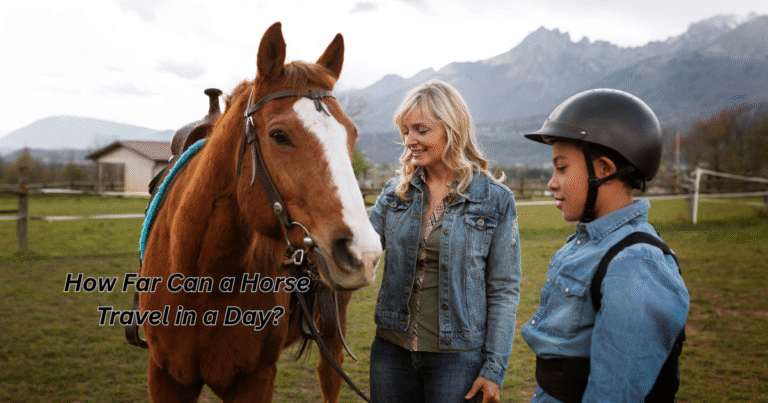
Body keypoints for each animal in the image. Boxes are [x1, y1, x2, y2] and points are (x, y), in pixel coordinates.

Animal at [138, 22, 382, 402]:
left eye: (352, 135)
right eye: (279, 135)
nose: (363, 252)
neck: (203, 281)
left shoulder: (256, 379)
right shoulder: (166, 377)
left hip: (334, 336)